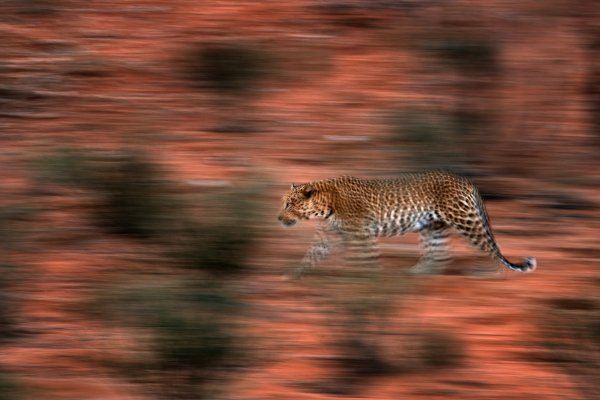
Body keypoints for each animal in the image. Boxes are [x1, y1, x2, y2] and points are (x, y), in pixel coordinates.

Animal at [278, 170, 536, 278]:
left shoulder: (361, 233)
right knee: (439, 255)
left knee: (489, 247)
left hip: (466, 220)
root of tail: (466, 181)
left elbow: (365, 259)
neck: (326, 204)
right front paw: (294, 274)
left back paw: (492, 274)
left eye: (290, 204)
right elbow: (313, 253)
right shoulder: (330, 233)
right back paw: (416, 273)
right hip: (433, 227)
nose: (279, 218)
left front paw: (367, 279)